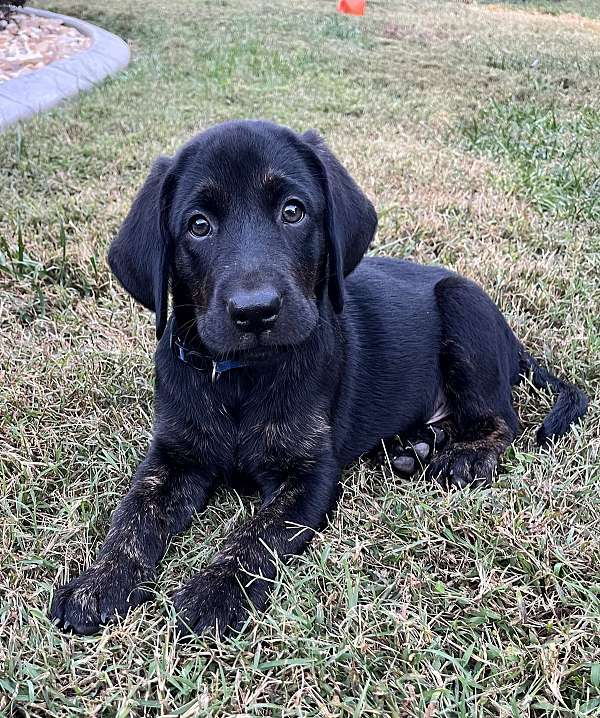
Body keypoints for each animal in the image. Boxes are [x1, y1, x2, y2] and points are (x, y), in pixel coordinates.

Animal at [50, 121, 584, 640]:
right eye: (198, 226)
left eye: (293, 211)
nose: (255, 311)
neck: (242, 379)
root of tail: (513, 340)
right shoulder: (172, 457)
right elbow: (131, 518)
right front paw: (97, 583)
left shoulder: (309, 475)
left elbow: (255, 536)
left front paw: (213, 593)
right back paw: (414, 447)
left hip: (462, 305)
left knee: (503, 417)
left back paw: (466, 456)